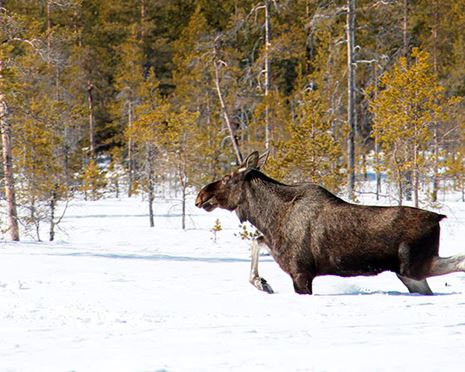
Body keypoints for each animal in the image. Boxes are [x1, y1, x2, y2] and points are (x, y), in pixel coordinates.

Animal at [196, 151, 464, 296]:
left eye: (228, 178)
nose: (201, 195)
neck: (269, 217)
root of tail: (438, 219)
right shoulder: (275, 247)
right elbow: (256, 240)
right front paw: (262, 283)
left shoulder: (301, 273)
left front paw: (263, 283)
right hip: (410, 274)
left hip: (413, 267)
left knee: (459, 260)